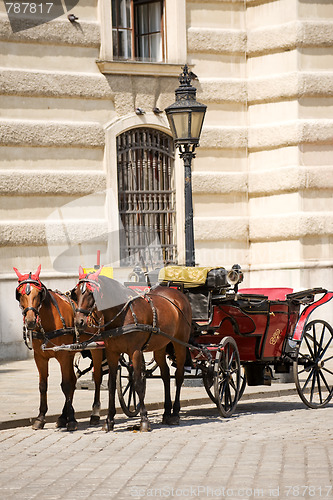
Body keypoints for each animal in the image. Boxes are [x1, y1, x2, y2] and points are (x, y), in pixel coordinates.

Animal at [14, 266, 103, 430]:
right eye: (20, 294)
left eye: (38, 294)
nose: (30, 321)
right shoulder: (40, 357)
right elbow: (43, 385)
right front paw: (41, 417)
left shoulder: (63, 355)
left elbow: (66, 385)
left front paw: (72, 420)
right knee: (73, 380)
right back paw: (62, 416)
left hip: (96, 349)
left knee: (97, 379)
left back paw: (94, 414)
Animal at [72, 268, 192, 432]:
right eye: (76, 293)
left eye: (91, 293)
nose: (79, 322)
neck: (121, 316)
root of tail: (178, 294)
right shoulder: (112, 353)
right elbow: (111, 385)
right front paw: (109, 420)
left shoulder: (135, 352)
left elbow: (138, 382)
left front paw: (144, 419)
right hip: (160, 346)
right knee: (166, 375)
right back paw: (167, 412)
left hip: (180, 343)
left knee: (179, 376)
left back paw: (175, 413)